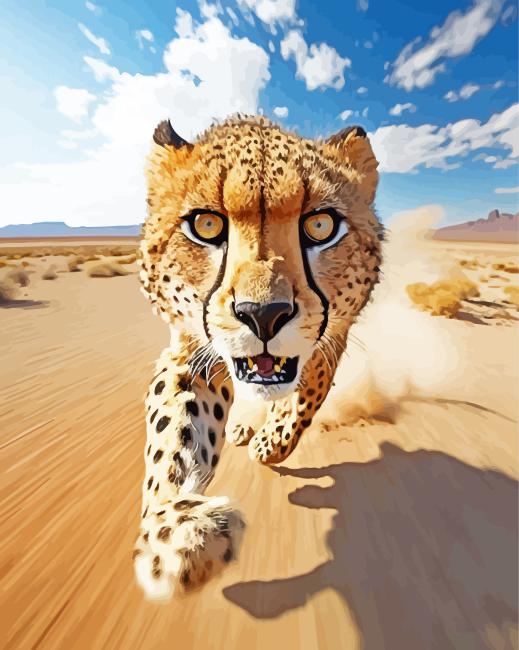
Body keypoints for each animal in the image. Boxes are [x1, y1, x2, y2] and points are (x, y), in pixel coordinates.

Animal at [133, 115, 383, 601]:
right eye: (206, 225)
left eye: (320, 226)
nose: (263, 315)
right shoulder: (194, 352)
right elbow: (171, 435)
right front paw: (176, 531)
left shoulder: (331, 337)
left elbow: (304, 398)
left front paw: (271, 444)